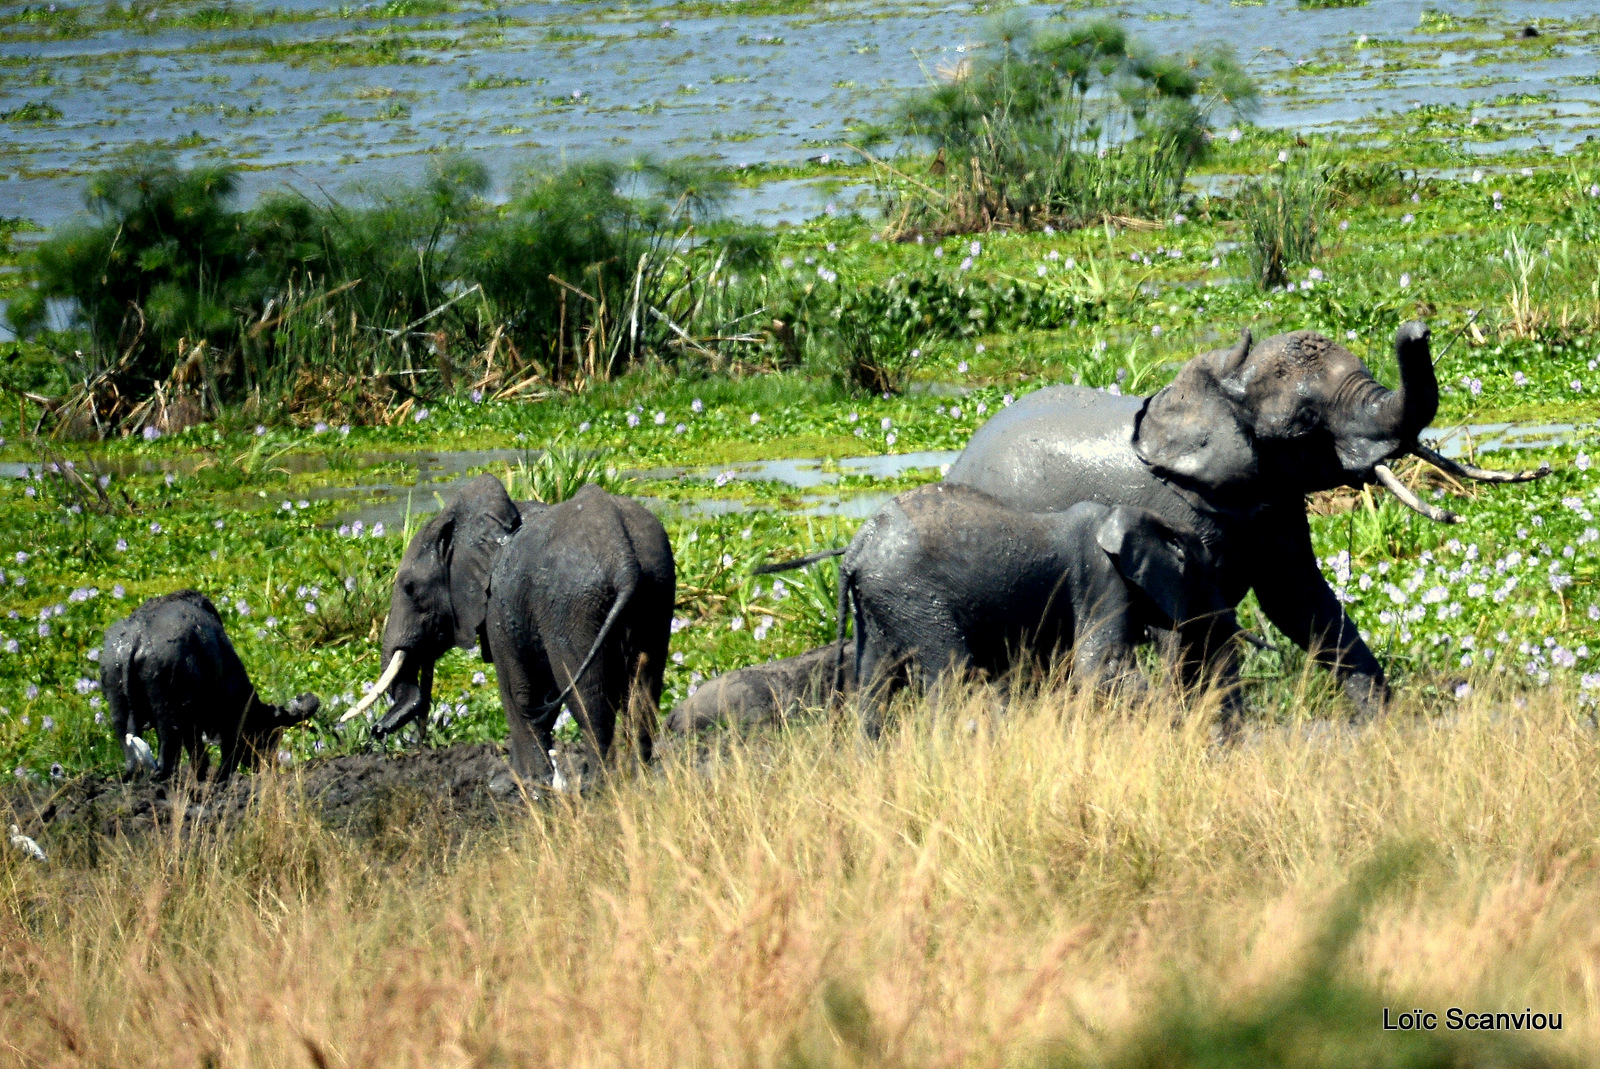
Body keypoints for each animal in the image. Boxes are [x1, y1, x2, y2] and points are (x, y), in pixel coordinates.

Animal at [100, 588, 321, 780]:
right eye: (268, 734)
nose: (267, 766)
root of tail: (136, 638)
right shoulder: (227, 715)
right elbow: (224, 747)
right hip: (167, 707)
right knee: (169, 738)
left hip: (118, 702)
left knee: (128, 741)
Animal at [480, 483, 668, 784]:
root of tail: (624, 558)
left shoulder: (500, 608)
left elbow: (521, 693)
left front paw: (529, 783)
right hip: (656, 583)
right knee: (644, 690)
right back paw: (640, 780)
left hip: (572, 604)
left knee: (589, 698)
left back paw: (597, 785)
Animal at [832, 483, 1228, 736]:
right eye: (1209, 574)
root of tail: (857, 548)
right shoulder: (1101, 580)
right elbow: (1100, 669)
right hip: (913, 596)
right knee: (950, 680)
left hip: (878, 604)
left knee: (872, 686)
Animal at [940, 321, 1542, 713]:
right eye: (1305, 422)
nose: (1418, 327)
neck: (1223, 391)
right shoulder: (1169, 504)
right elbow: (1196, 622)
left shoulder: (1275, 498)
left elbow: (1300, 601)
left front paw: (1378, 728)